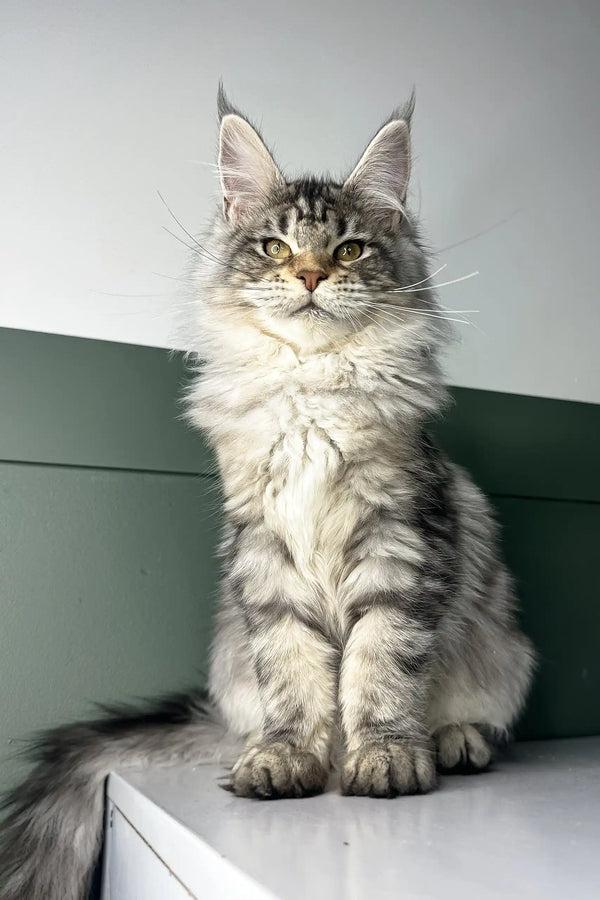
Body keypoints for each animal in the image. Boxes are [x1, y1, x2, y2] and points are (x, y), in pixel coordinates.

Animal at [0, 89, 536, 900]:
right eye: (277, 249)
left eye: (348, 250)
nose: (311, 276)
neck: (309, 394)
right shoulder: (265, 559)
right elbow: (295, 677)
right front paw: (289, 759)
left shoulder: (402, 546)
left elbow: (379, 668)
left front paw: (384, 757)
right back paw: (253, 748)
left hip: (504, 651)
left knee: (476, 715)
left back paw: (453, 742)